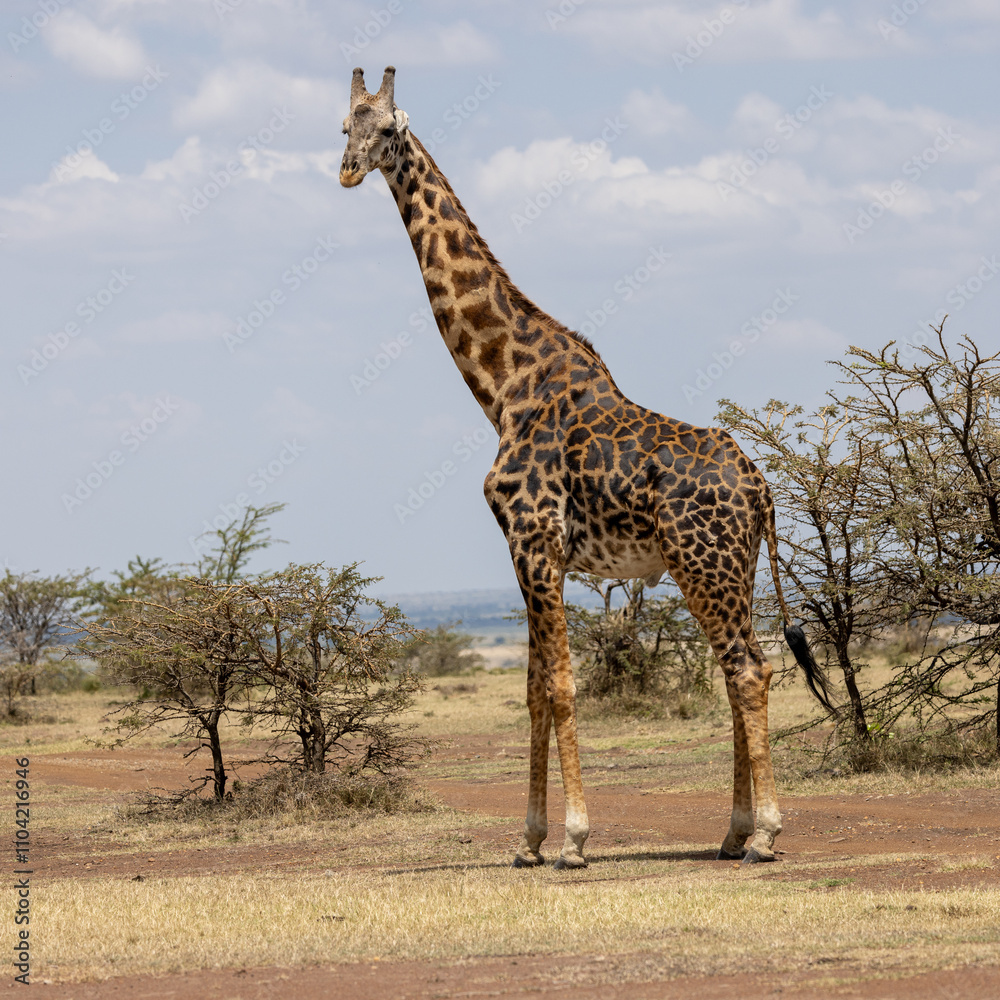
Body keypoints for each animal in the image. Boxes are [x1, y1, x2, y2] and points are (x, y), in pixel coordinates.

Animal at [340, 67, 831, 869]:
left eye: (385, 128)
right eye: (341, 125)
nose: (348, 170)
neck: (503, 387)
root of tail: (760, 487)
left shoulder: (535, 539)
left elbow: (563, 688)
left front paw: (571, 839)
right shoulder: (526, 550)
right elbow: (535, 688)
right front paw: (528, 841)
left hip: (705, 562)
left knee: (747, 668)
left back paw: (763, 834)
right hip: (730, 563)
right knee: (738, 667)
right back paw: (730, 833)